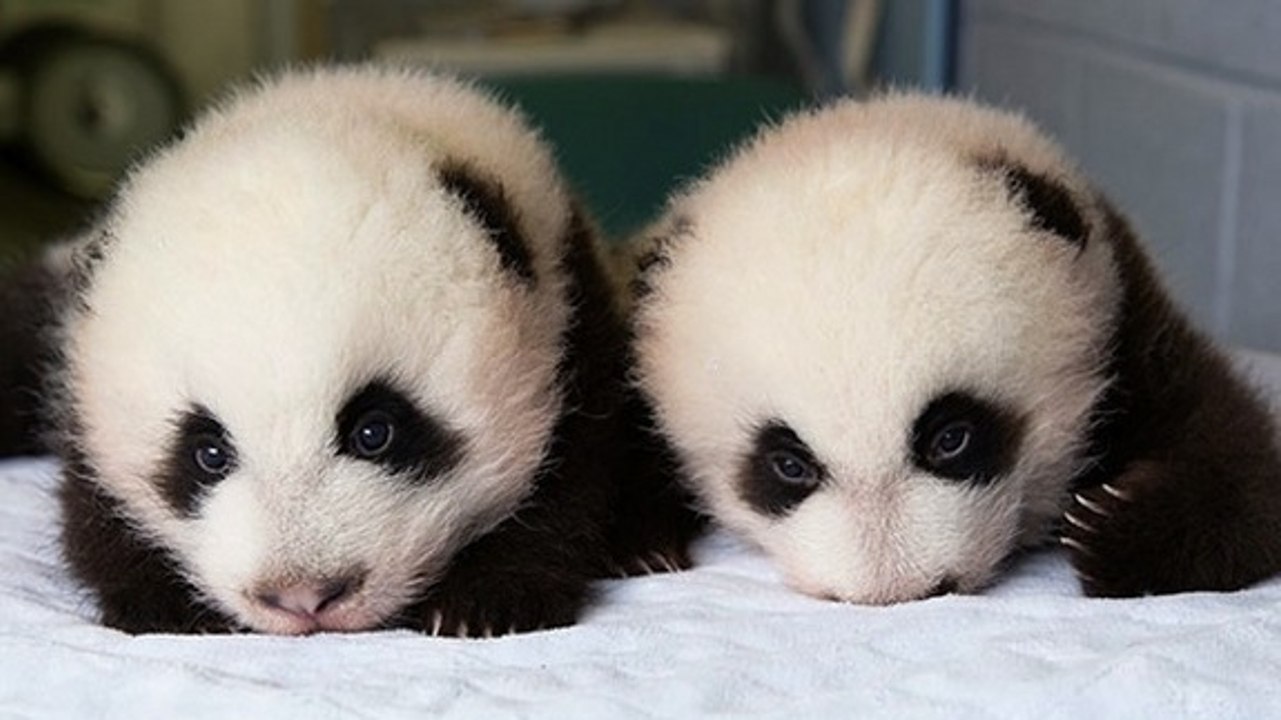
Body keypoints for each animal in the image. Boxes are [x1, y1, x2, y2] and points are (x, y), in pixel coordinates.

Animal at [46, 64, 678, 636]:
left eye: (375, 431)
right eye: (207, 453)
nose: (303, 595)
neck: (337, 105)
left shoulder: (569, 313)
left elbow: (569, 473)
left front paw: (488, 601)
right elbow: (91, 510)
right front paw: (168, 607)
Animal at [626, 93, 1281, 603]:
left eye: (952, 437)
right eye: (788, 464)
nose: (896, 590)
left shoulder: (1124, 320)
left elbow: (1241, 460)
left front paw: (1111, 530)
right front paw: (643, 549)